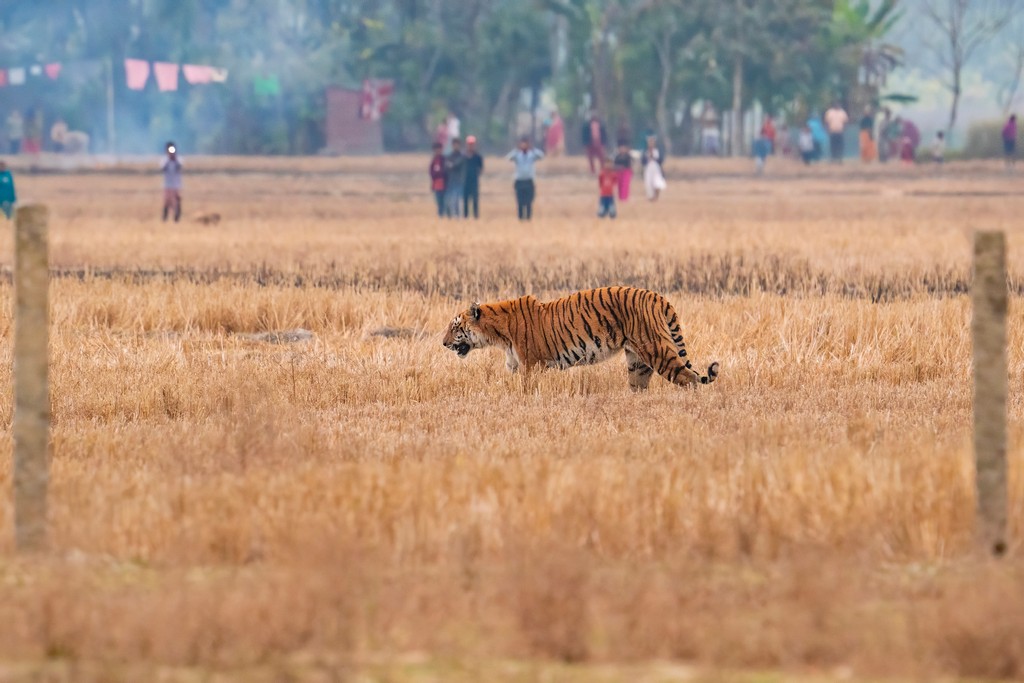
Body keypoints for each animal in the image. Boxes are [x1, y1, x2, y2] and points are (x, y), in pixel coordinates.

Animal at [442, 284, 720, 389]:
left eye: (455, 327)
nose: (443, 343)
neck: (498, 335)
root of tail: (658, 297)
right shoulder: (515, 366)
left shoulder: (531, 366)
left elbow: (527, 389)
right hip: (637, 362)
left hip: (656, 350)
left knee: (689, 378)